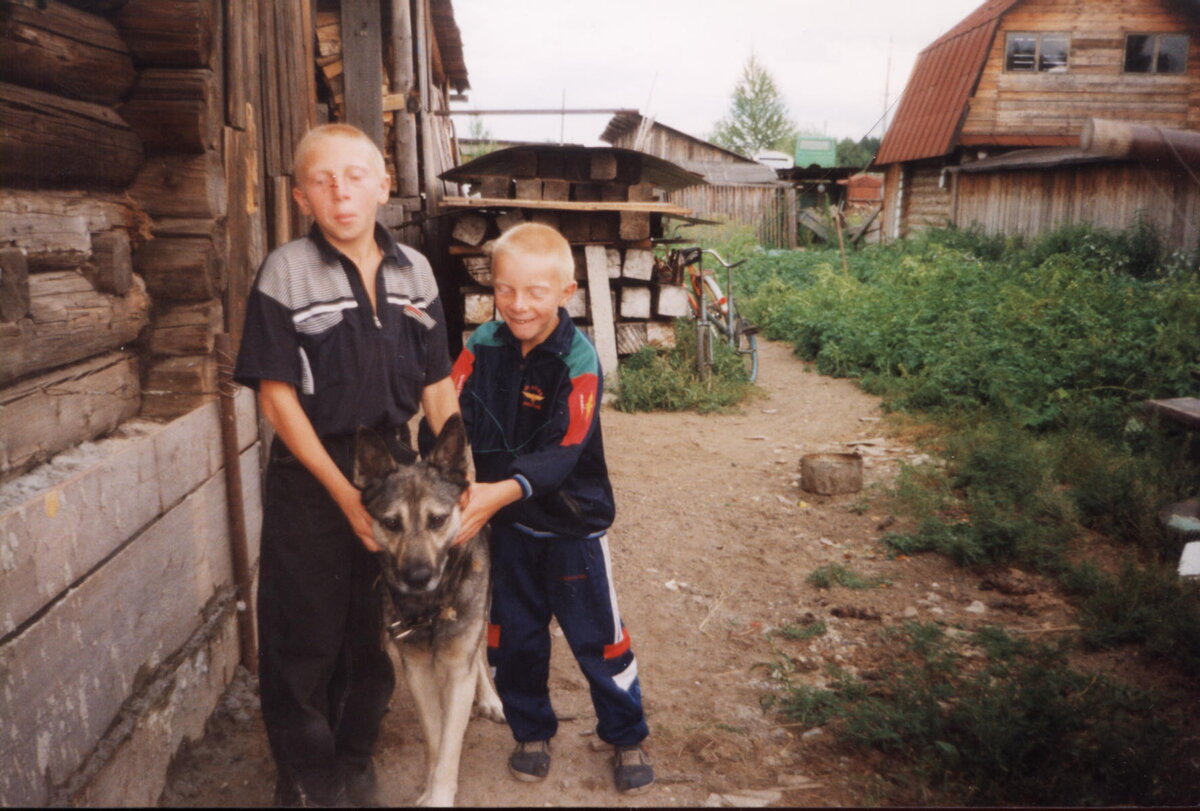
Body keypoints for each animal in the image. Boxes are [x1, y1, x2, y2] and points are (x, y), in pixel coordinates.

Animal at [355, 415, 506, 806]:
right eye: (392, 523)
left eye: (437, 520)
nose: (417, 577)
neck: (430, 606)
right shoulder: (417, 670)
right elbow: (436, 739)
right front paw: (431, 786)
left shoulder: (457, 666)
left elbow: (451, 745)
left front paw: (439, 795)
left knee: (479, 653)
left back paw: (490, 697)